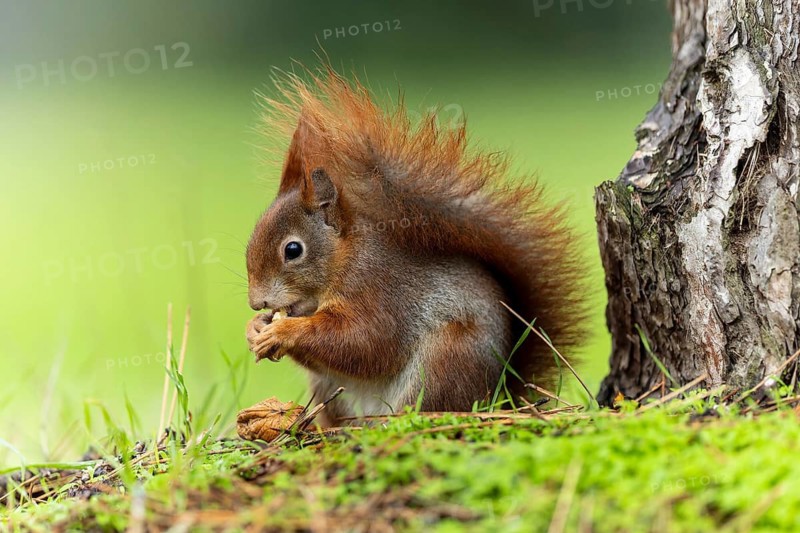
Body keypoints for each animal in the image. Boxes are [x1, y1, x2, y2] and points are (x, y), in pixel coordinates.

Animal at [245, 68, 587, 425]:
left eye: (293, 250)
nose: (257, 302)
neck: (345, 259)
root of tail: (499, 396)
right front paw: (254, 329)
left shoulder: (379, 290)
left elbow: (366, 342)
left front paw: (283, 332)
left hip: (443, 364)